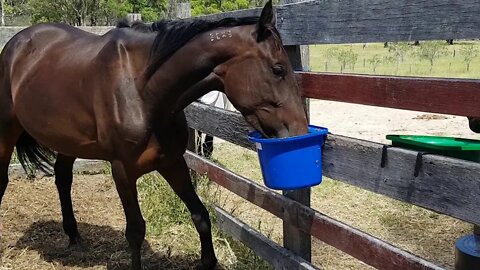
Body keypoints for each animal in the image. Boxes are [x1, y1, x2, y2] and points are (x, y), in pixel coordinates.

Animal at [0, 1, 308, 268]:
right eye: (278, 69)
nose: (300, 131)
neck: (143, 91)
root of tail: (16, 43)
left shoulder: (172, 161)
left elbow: (200, 214)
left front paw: (208, 261)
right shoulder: (122, 170)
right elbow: (136, 230)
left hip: (69, 141)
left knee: (63, 178)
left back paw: (74, 236)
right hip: (6, 132)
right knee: (4, 180)